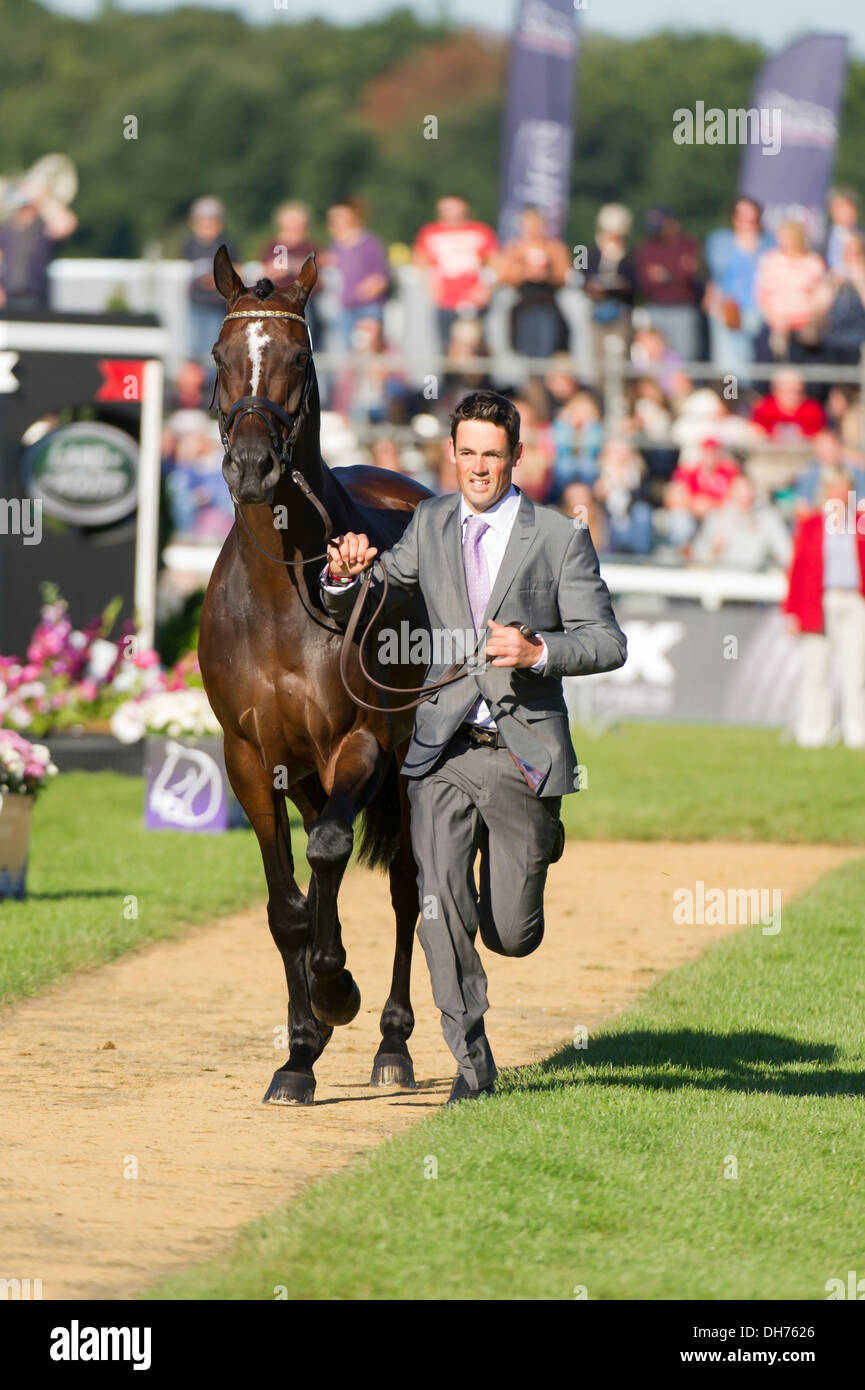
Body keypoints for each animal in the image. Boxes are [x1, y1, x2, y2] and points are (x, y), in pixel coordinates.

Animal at [198, 244, 431, 1100]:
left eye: (298, 358)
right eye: (219, 354)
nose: (252, 466)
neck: (280, 600)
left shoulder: (359, 744)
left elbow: (331, 855)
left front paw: (336, 990)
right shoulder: (249, 758)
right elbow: (286, 905)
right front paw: (298, 1053)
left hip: (404, 765)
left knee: (406, 887)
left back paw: (391, 1042)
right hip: (302, 774)